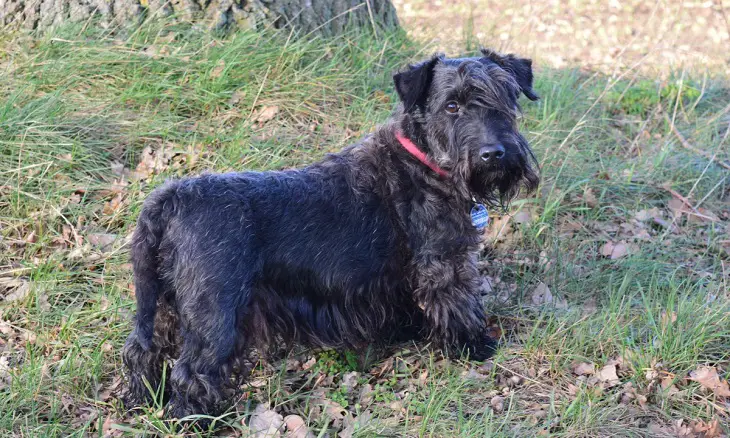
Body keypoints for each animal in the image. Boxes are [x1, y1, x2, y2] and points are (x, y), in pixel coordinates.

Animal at [122, 46, 536, 420]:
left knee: (142, 351)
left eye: (505, 97)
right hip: (215, 313)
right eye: (451, 106)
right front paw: (476, 347)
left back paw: (138, 400)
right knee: (192, 372)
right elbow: (459, 305)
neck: (424, 161)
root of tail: (170, 199)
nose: (493, 154)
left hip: (164, 303)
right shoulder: (446, 264)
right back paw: (194, 420)